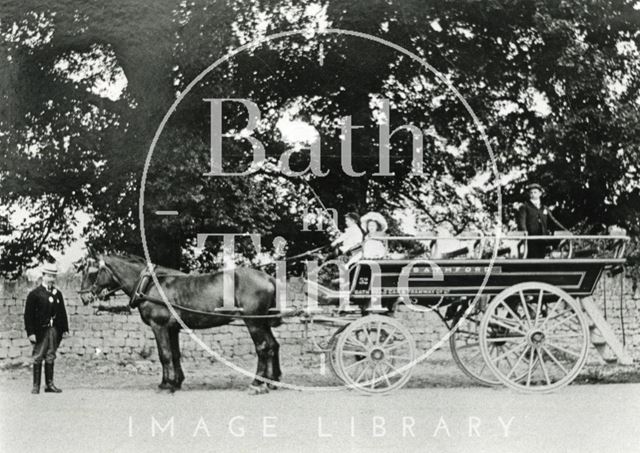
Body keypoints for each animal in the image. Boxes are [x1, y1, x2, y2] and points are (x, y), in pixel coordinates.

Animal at [76, 252, 282, 394]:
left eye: (92, 272)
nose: (84, 297)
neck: (150, 284)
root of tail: (268, 278)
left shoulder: (159, 326)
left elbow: (164, 355)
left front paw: (166, 385)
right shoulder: (172, 328)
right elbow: (174, 354)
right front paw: (175, 382)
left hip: (253, 323)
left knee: (263, 347)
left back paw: (256, 383)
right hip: (262, 322)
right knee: (273, 345)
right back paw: (273, 381)